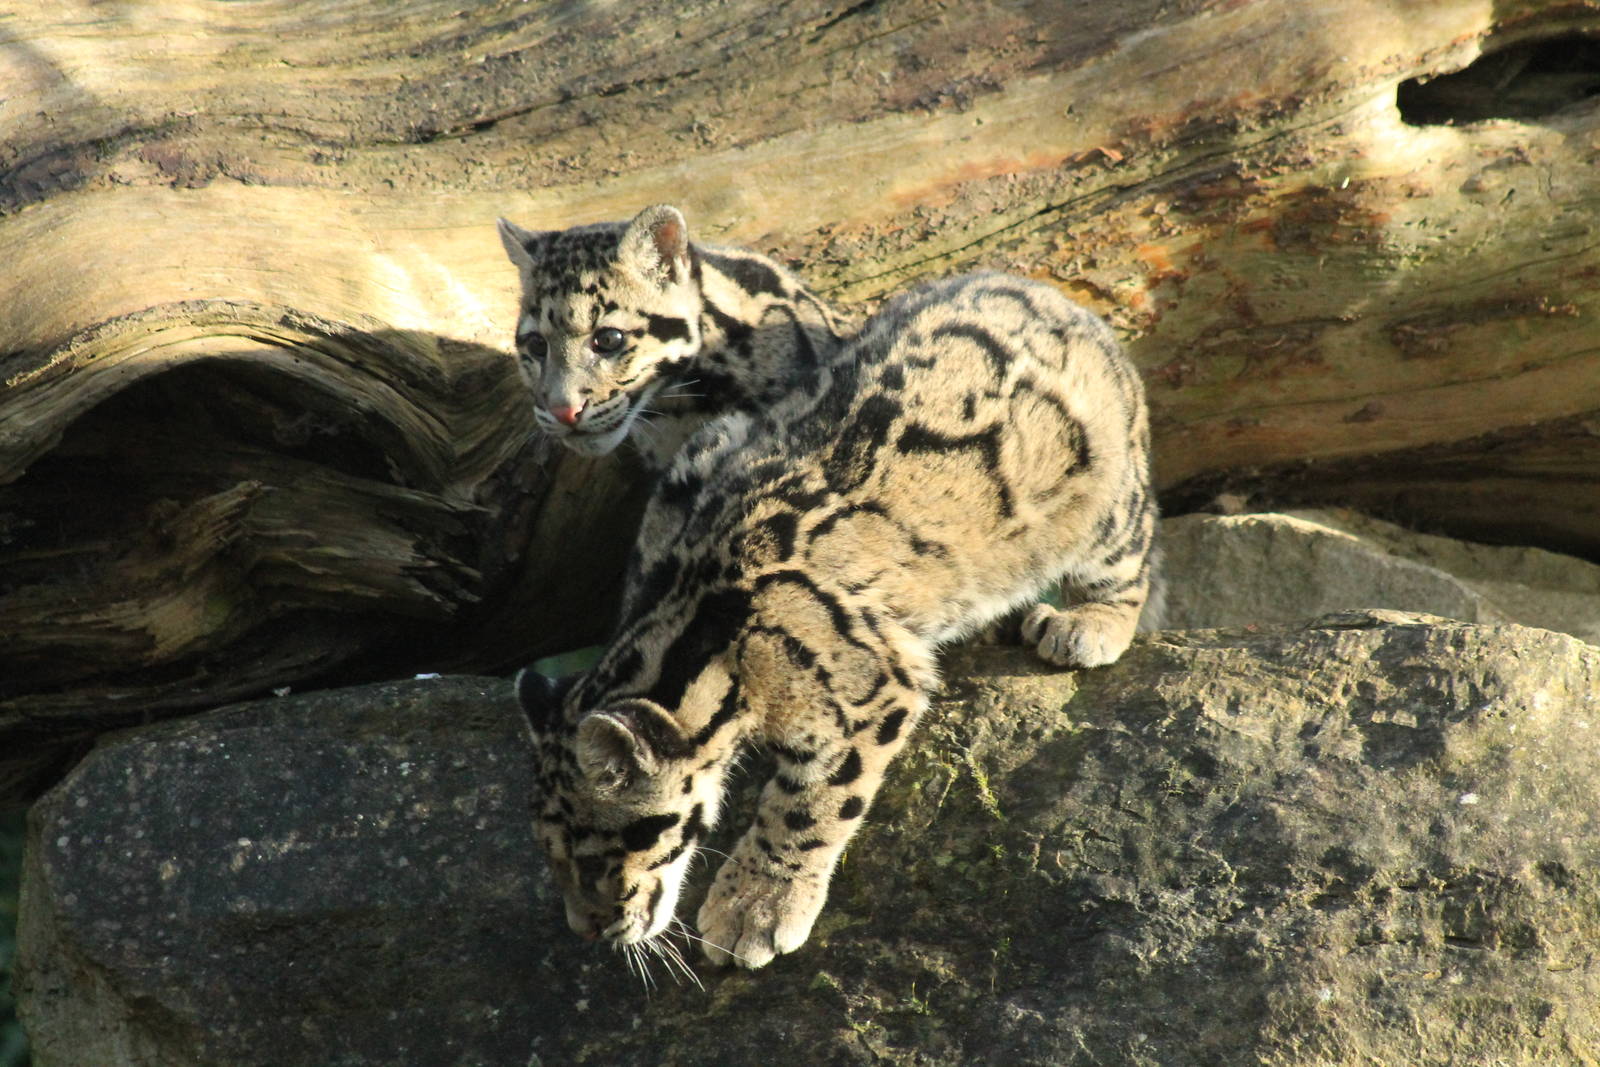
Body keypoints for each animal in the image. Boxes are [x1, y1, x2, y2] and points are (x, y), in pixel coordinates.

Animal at [517, 271, 1156, 971]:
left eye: (599, 852)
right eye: (547, 854)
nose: (586, 930)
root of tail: (1056, 295)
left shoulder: (870, 686)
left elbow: (810, 804)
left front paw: (754, 909)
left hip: (1106, 502)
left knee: (1131, 553)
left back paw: (1084, 624)